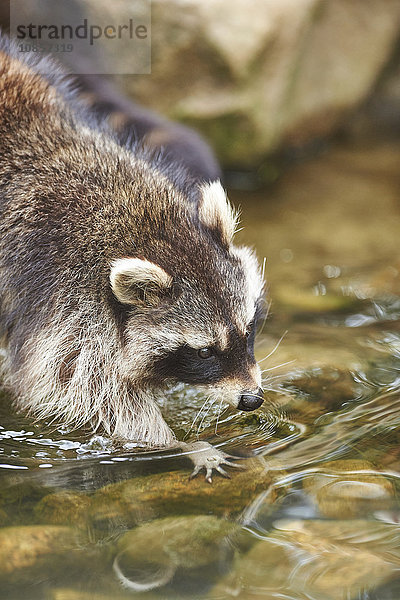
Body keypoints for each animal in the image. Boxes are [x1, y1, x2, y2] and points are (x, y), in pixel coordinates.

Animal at [0, 36, 264, 478]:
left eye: (249, 330)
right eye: (204, 351)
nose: (252, 398)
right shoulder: (65, 293)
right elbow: (77, 389)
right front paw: (180, 444)